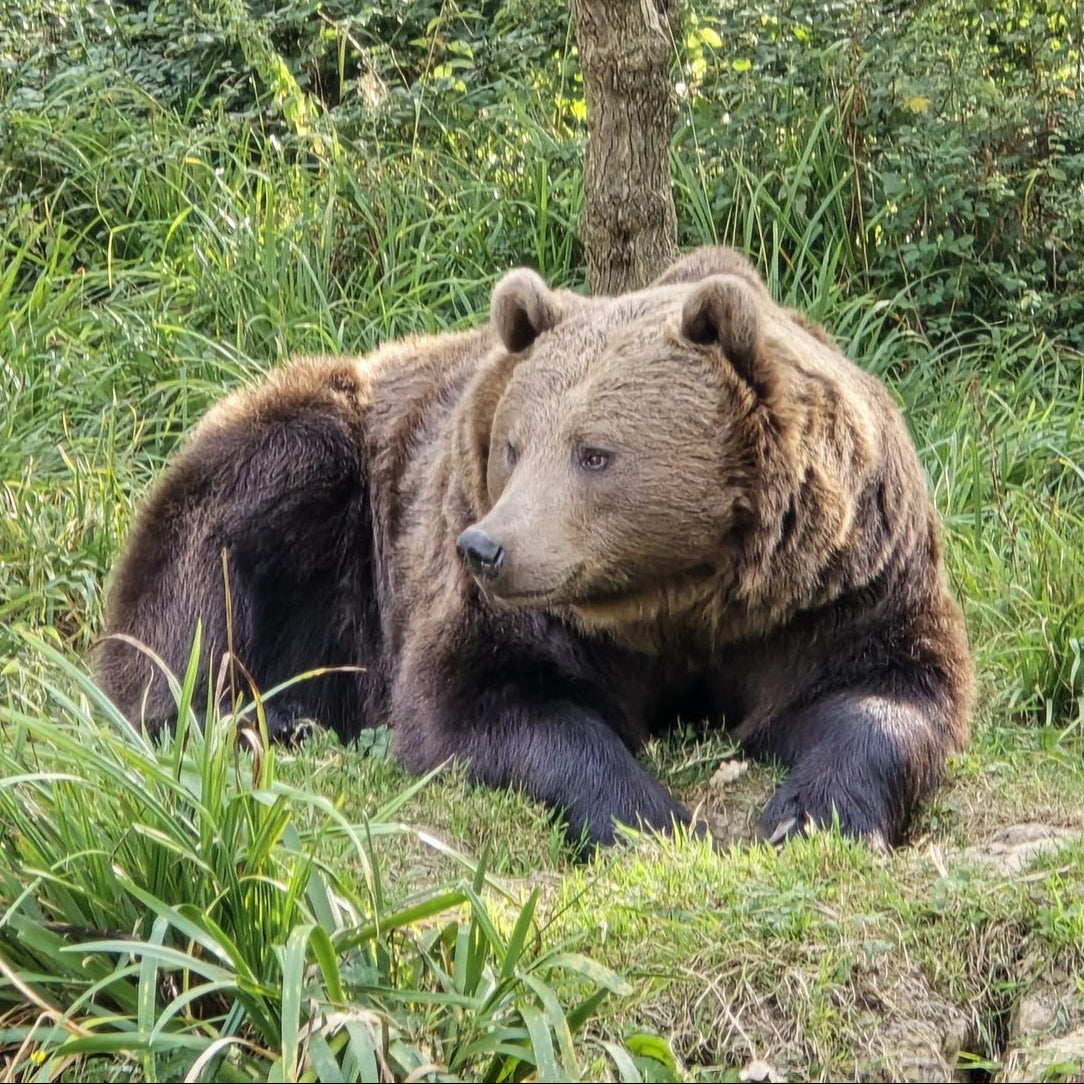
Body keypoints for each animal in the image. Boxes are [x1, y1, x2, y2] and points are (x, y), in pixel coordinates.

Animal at [97, 247, 974, 848]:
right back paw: (258, 714)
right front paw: (650, 818)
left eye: (595, 454)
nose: (486, 548)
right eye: (514, 446)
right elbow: (494, 703)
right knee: (201, 586)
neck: (685, 594)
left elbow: (885, 689)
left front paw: (811, 813)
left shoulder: (833, 584)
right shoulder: (515, 608)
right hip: (310, 464)